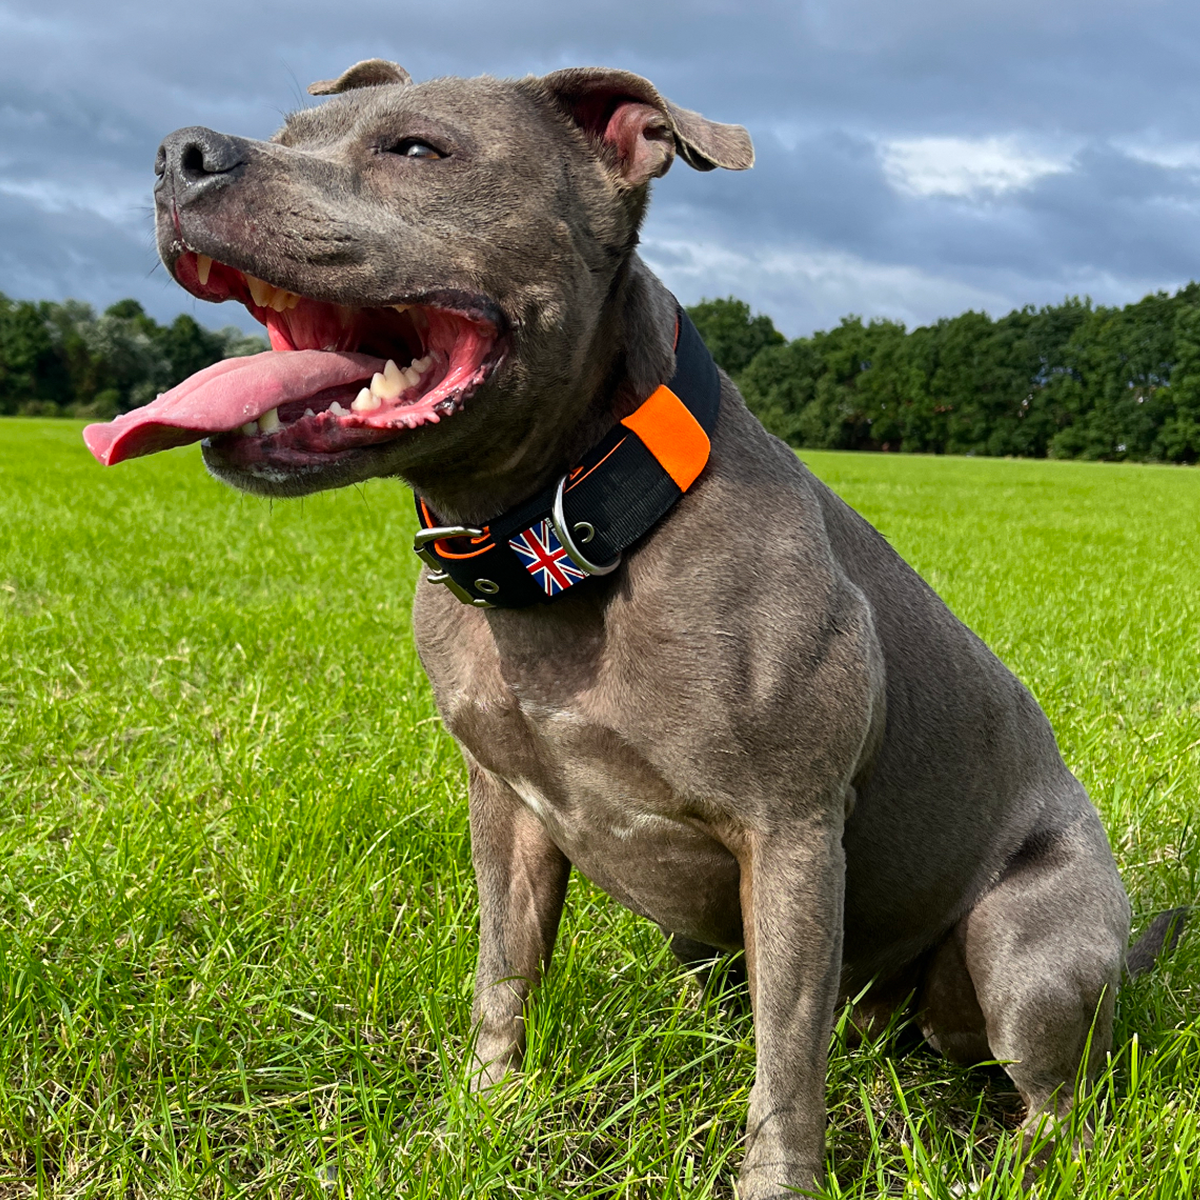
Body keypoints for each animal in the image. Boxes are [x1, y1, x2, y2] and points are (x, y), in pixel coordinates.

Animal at [87, 58, 1190, 1200]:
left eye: (418, 149)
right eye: (290, 130)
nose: (180, 153)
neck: (568, 529)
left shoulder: (792, 836)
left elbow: (786, 1064)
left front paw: (774, 1183)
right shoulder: (507, 807)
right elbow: (504, 974)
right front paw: (479, 1121)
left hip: (1024, 944)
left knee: (1056, 1100)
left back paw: (1010, 1160)